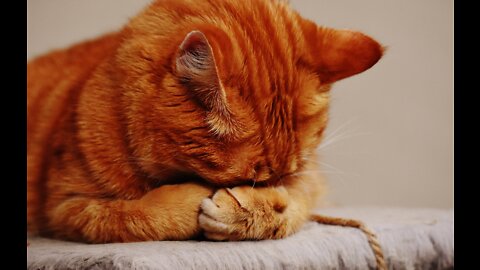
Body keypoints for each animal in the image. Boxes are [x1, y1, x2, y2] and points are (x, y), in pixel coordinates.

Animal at [27, 0, 382, 244]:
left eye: (282, 176)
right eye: (249, 178)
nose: (264, 191)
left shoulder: (310, 178)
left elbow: (295, 204)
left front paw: (253, 210)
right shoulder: (67, 207)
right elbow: (132, 215)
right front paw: (193, 201)